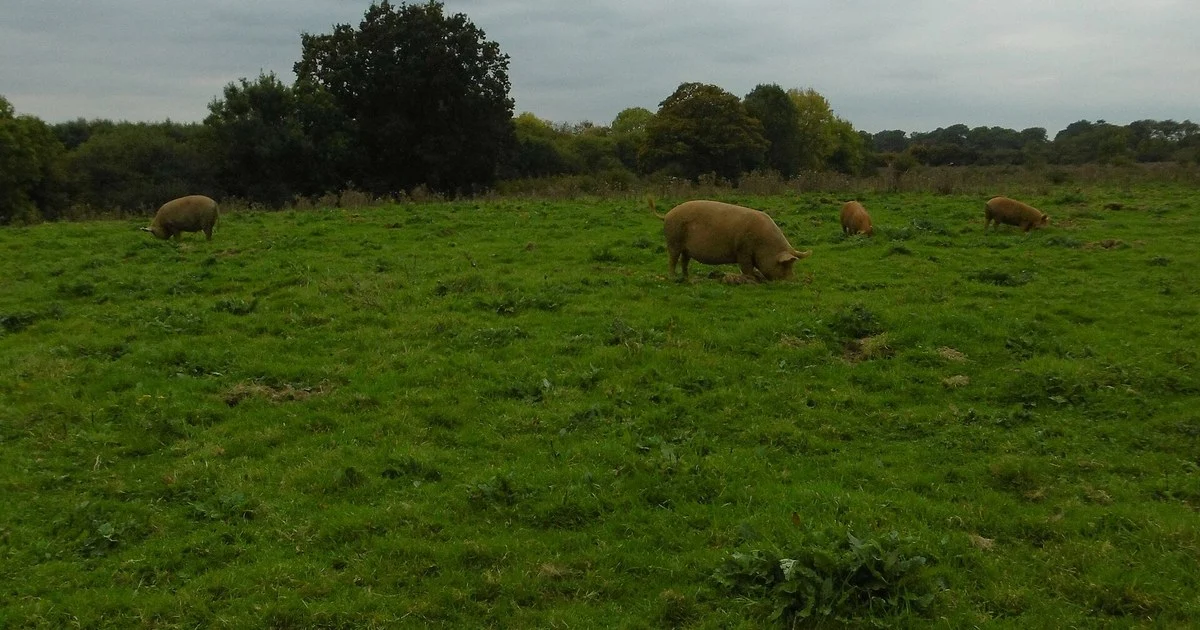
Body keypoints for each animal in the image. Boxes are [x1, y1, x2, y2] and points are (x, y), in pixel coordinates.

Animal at [651, 199, 811, 282]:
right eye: (784, 265)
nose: (791, 281)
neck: (763, 244)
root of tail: (667, 214)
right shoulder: (743, 250)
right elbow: (746, 267)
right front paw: (751, 279)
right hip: (674, 241)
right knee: (672, 260)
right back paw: (673, 278)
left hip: (686, 249)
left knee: (684, 261)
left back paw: (687, 278)